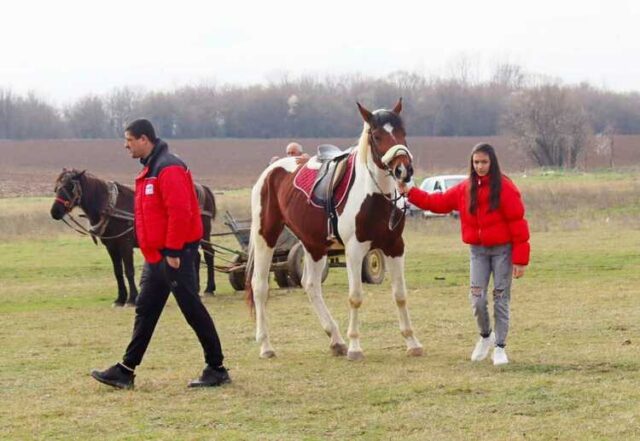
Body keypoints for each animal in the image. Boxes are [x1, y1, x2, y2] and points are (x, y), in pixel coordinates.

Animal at [50, 167, 220, 304]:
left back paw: (209, 288)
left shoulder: (125, 244)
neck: (110, 206)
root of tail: (203, 189)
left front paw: (132, 298)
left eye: (70, 186)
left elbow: (129, 270)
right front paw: (120, 299)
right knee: (196, 257)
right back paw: (195, 287)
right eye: (57, 186)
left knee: (209, 254)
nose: (55, 211)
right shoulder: (111, 246)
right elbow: (118, 272)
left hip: (203, 233)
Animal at [248, 98, 422, 360]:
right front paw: (355, 347)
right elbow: (355, 297)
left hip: (313, 244)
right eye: (377, 135)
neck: (374, 195)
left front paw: (412, 342)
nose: (404, 170)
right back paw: (266, 346)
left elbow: (400, 295)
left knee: (310, 285)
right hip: (265, 236)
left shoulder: (395, 247)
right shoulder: (355, 250)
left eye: (403, 132)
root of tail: (271, 170)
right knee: (259, 287)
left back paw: (336, 339)